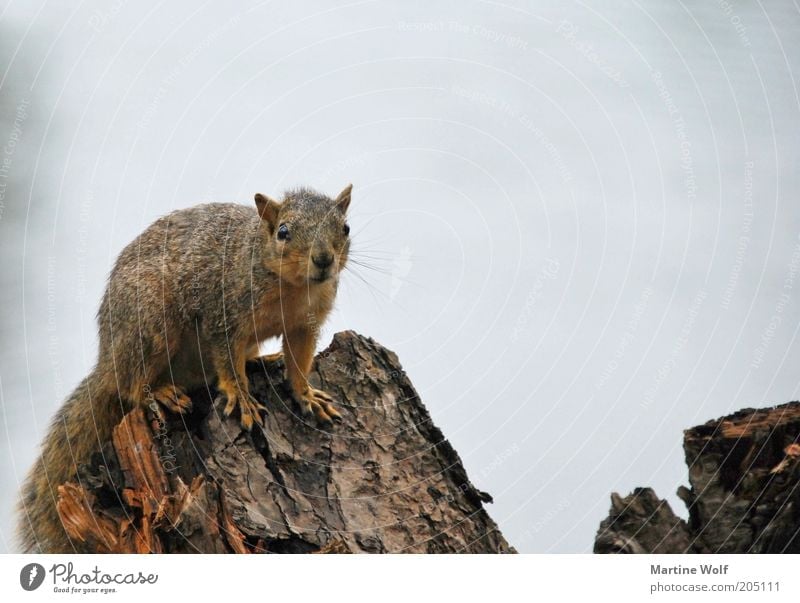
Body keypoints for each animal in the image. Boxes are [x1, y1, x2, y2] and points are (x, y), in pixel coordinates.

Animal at [14, 184, 354, 552]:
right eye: (283, 232)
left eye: (345, 228)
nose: (323, 259)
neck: (292, 288)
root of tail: (107, 364)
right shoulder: (222, 313)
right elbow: (227, 361)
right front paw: (241, 397)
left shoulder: (306, 325)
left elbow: (300, 361)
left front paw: (307, 394)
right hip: (149, 320)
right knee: (132, 385)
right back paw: (160, 393)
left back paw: (260, 360)